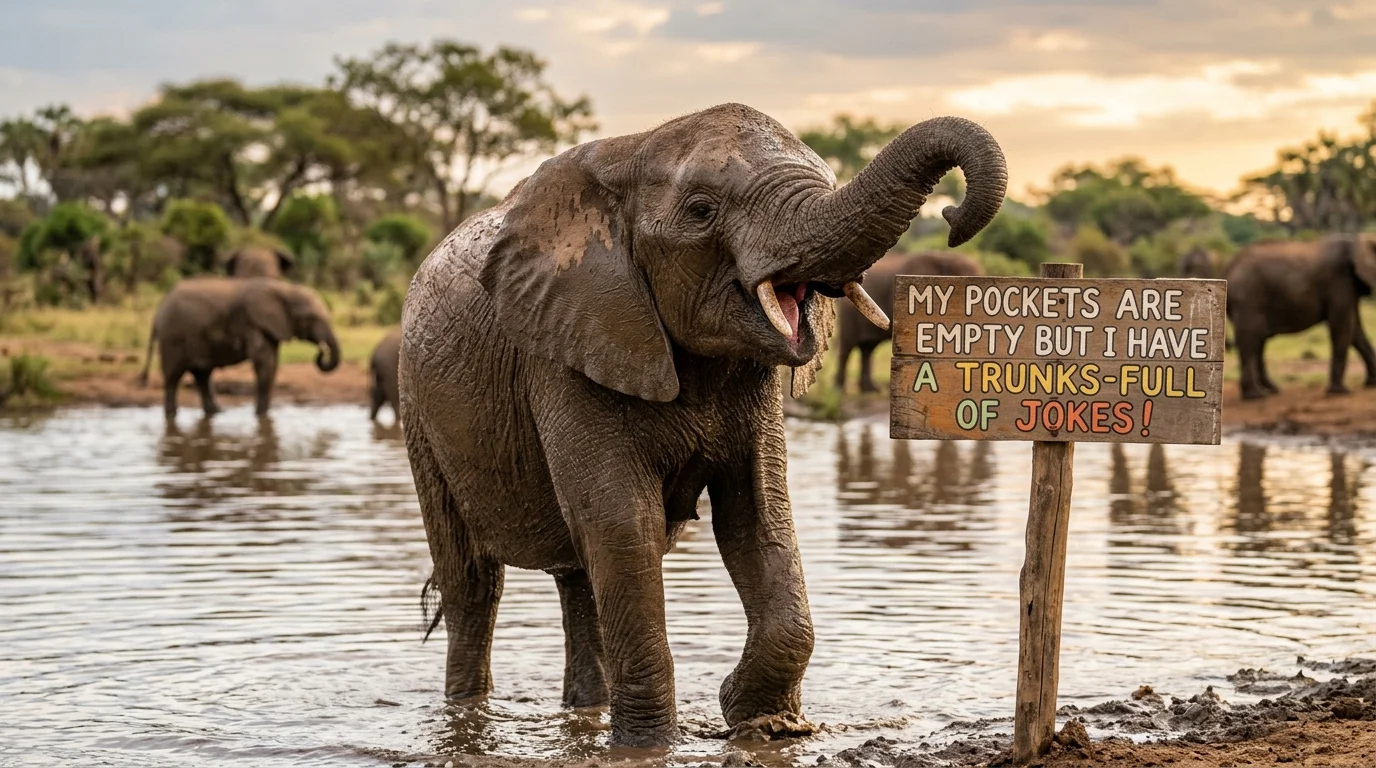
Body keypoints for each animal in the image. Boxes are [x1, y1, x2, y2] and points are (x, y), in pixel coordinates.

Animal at [139, 277, 340, 418]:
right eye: (310, 318)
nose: (322, 350)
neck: (284, 288)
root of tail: (158, 311)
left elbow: (272, 364)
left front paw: (265, 415)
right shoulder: (252, 325)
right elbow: (264, 363)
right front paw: (260, 416)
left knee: (202, 376)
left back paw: (217, 413)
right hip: (172, 339)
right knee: (173, 378)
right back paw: (171, 415)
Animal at [834, 251, 984, 393]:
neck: (944, 257)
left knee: (867, 348)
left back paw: (870, 390)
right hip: (848, 314)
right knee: (847, 347)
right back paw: (840, 390)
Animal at [1225, 235, 1376, 400]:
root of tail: (1228, 267)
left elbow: (1355, 330)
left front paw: (1371, 384)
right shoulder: (1339, 282)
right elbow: (1342, 328)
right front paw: (1340, 392)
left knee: (1258, 341)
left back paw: (1270, 390)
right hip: (1247, 298)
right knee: (1249, 339)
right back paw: (1255, 396)